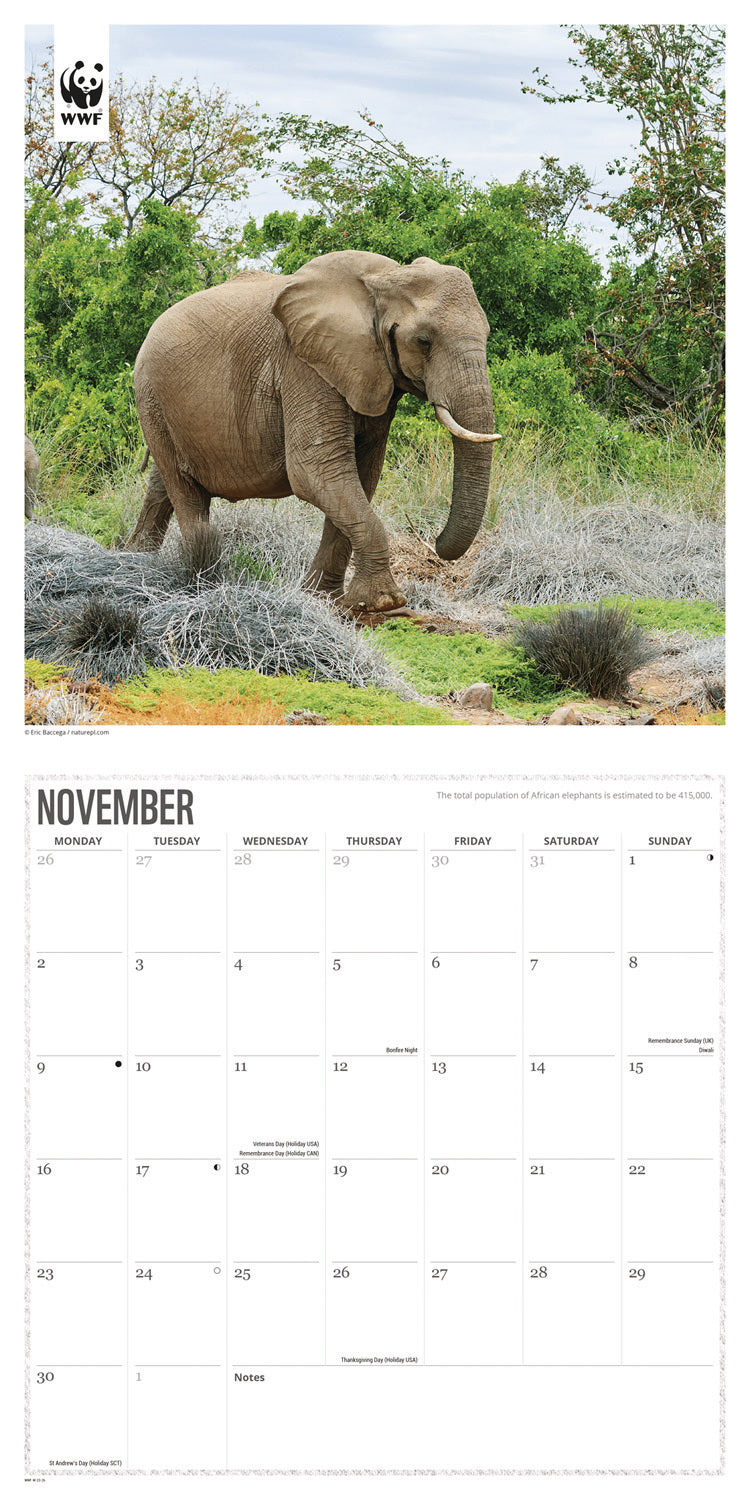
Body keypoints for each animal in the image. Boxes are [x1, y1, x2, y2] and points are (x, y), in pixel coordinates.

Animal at [128, 250, 503, 613]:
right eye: (424, 341)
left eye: (487, 336)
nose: (435, 542)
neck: (384, 279)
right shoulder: (303, 365)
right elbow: (316, 472)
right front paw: (385, 604)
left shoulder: (369, 371)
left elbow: (361, 475)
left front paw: (327, 600)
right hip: (151, 395)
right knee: (185, 490)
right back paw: (198, 583)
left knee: (163, 485)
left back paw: (136, 562)